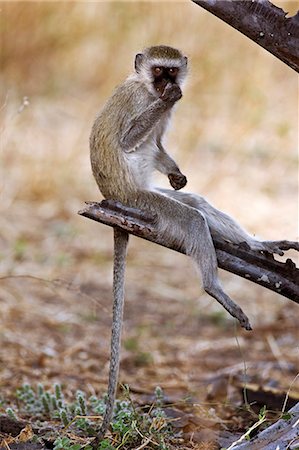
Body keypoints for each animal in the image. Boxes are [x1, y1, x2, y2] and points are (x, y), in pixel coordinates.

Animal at [90, 44, 298, 440]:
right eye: (159, 72)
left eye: (172, 71)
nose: (168, 86)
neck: (148, 89)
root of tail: (112, 199)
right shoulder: (141, 99)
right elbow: (129, 140)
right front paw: (168, 101)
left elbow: (157, 147)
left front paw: (177, 173)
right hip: (143, 202)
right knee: (191, 219)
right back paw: (213, 287)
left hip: (147, 198)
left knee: (197, 205)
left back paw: (257, 246)